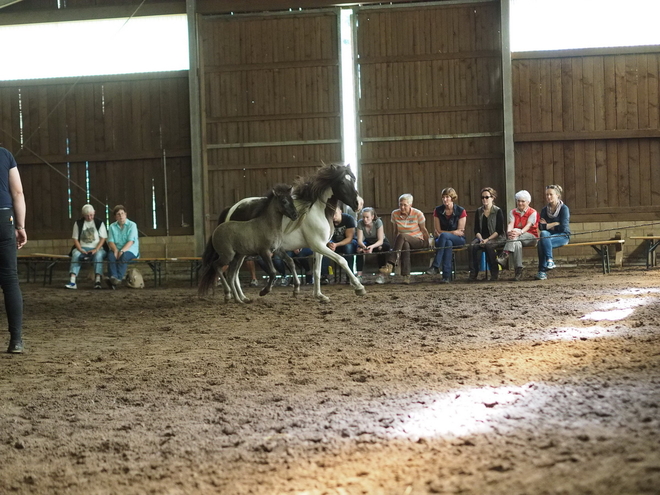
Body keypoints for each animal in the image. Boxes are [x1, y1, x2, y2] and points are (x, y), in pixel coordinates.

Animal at [217, 163, 366, 302]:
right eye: (342, 182)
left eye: (353, 179)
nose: (359, 203)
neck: (318, 210)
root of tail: (232, 208)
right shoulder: (318, 245)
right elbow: (342, 260)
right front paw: (359, 288)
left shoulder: (319, 247)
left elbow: (317, 270)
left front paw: (319, 295)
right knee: (229, 271)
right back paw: (232, 295)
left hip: (241, 252)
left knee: (233, 273)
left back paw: (242, 297)